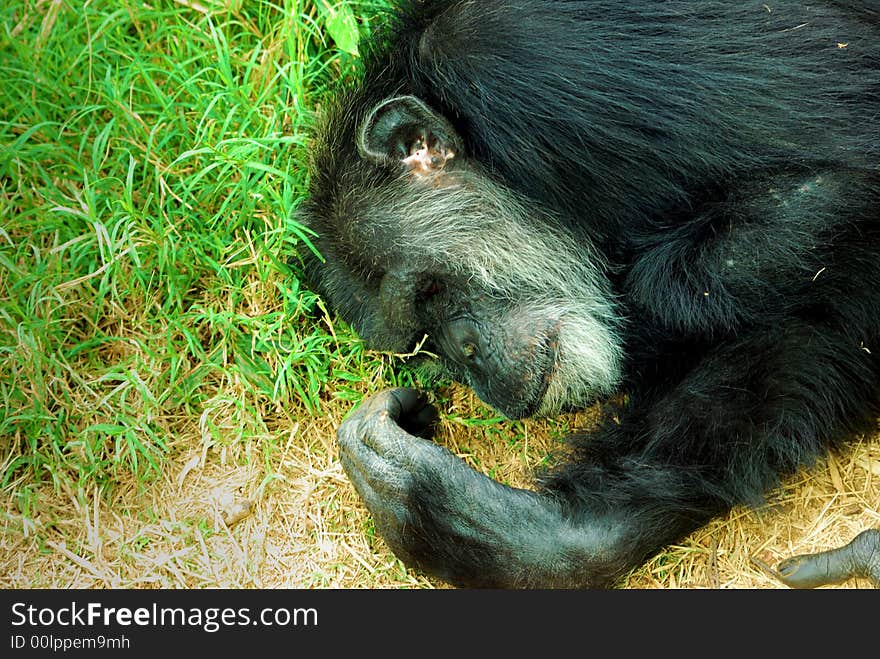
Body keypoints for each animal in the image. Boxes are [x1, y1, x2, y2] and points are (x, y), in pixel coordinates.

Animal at [296, 0, 880, 588]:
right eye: (424, 345)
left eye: (429, 290)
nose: (468, 354)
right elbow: (805, 343)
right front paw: (510, 533)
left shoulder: (533, 63)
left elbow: (844, 168)